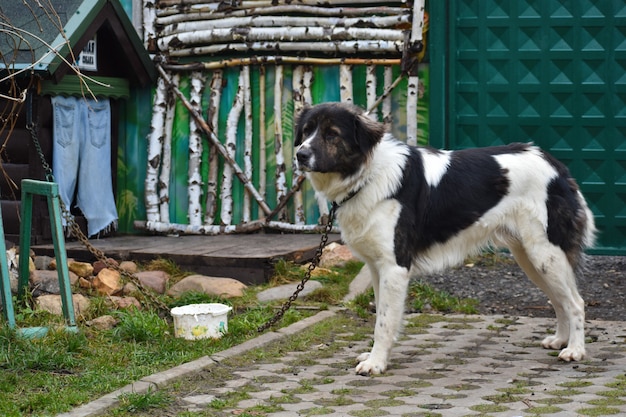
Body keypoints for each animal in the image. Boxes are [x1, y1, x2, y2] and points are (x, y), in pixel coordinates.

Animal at [292, 102, 596, 376]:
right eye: (306, 131)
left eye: (332, 134)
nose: (300, 154)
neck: (367, 174)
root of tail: (556, 165)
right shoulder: (377, 267)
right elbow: (381, 316)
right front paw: (377, 356)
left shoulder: (394, 267)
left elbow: (384, 322)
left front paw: (376, 363)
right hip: (531, 257)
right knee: (559, 300)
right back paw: (560, 340)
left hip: (544, 253)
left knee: (575, 302)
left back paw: (575, 350)